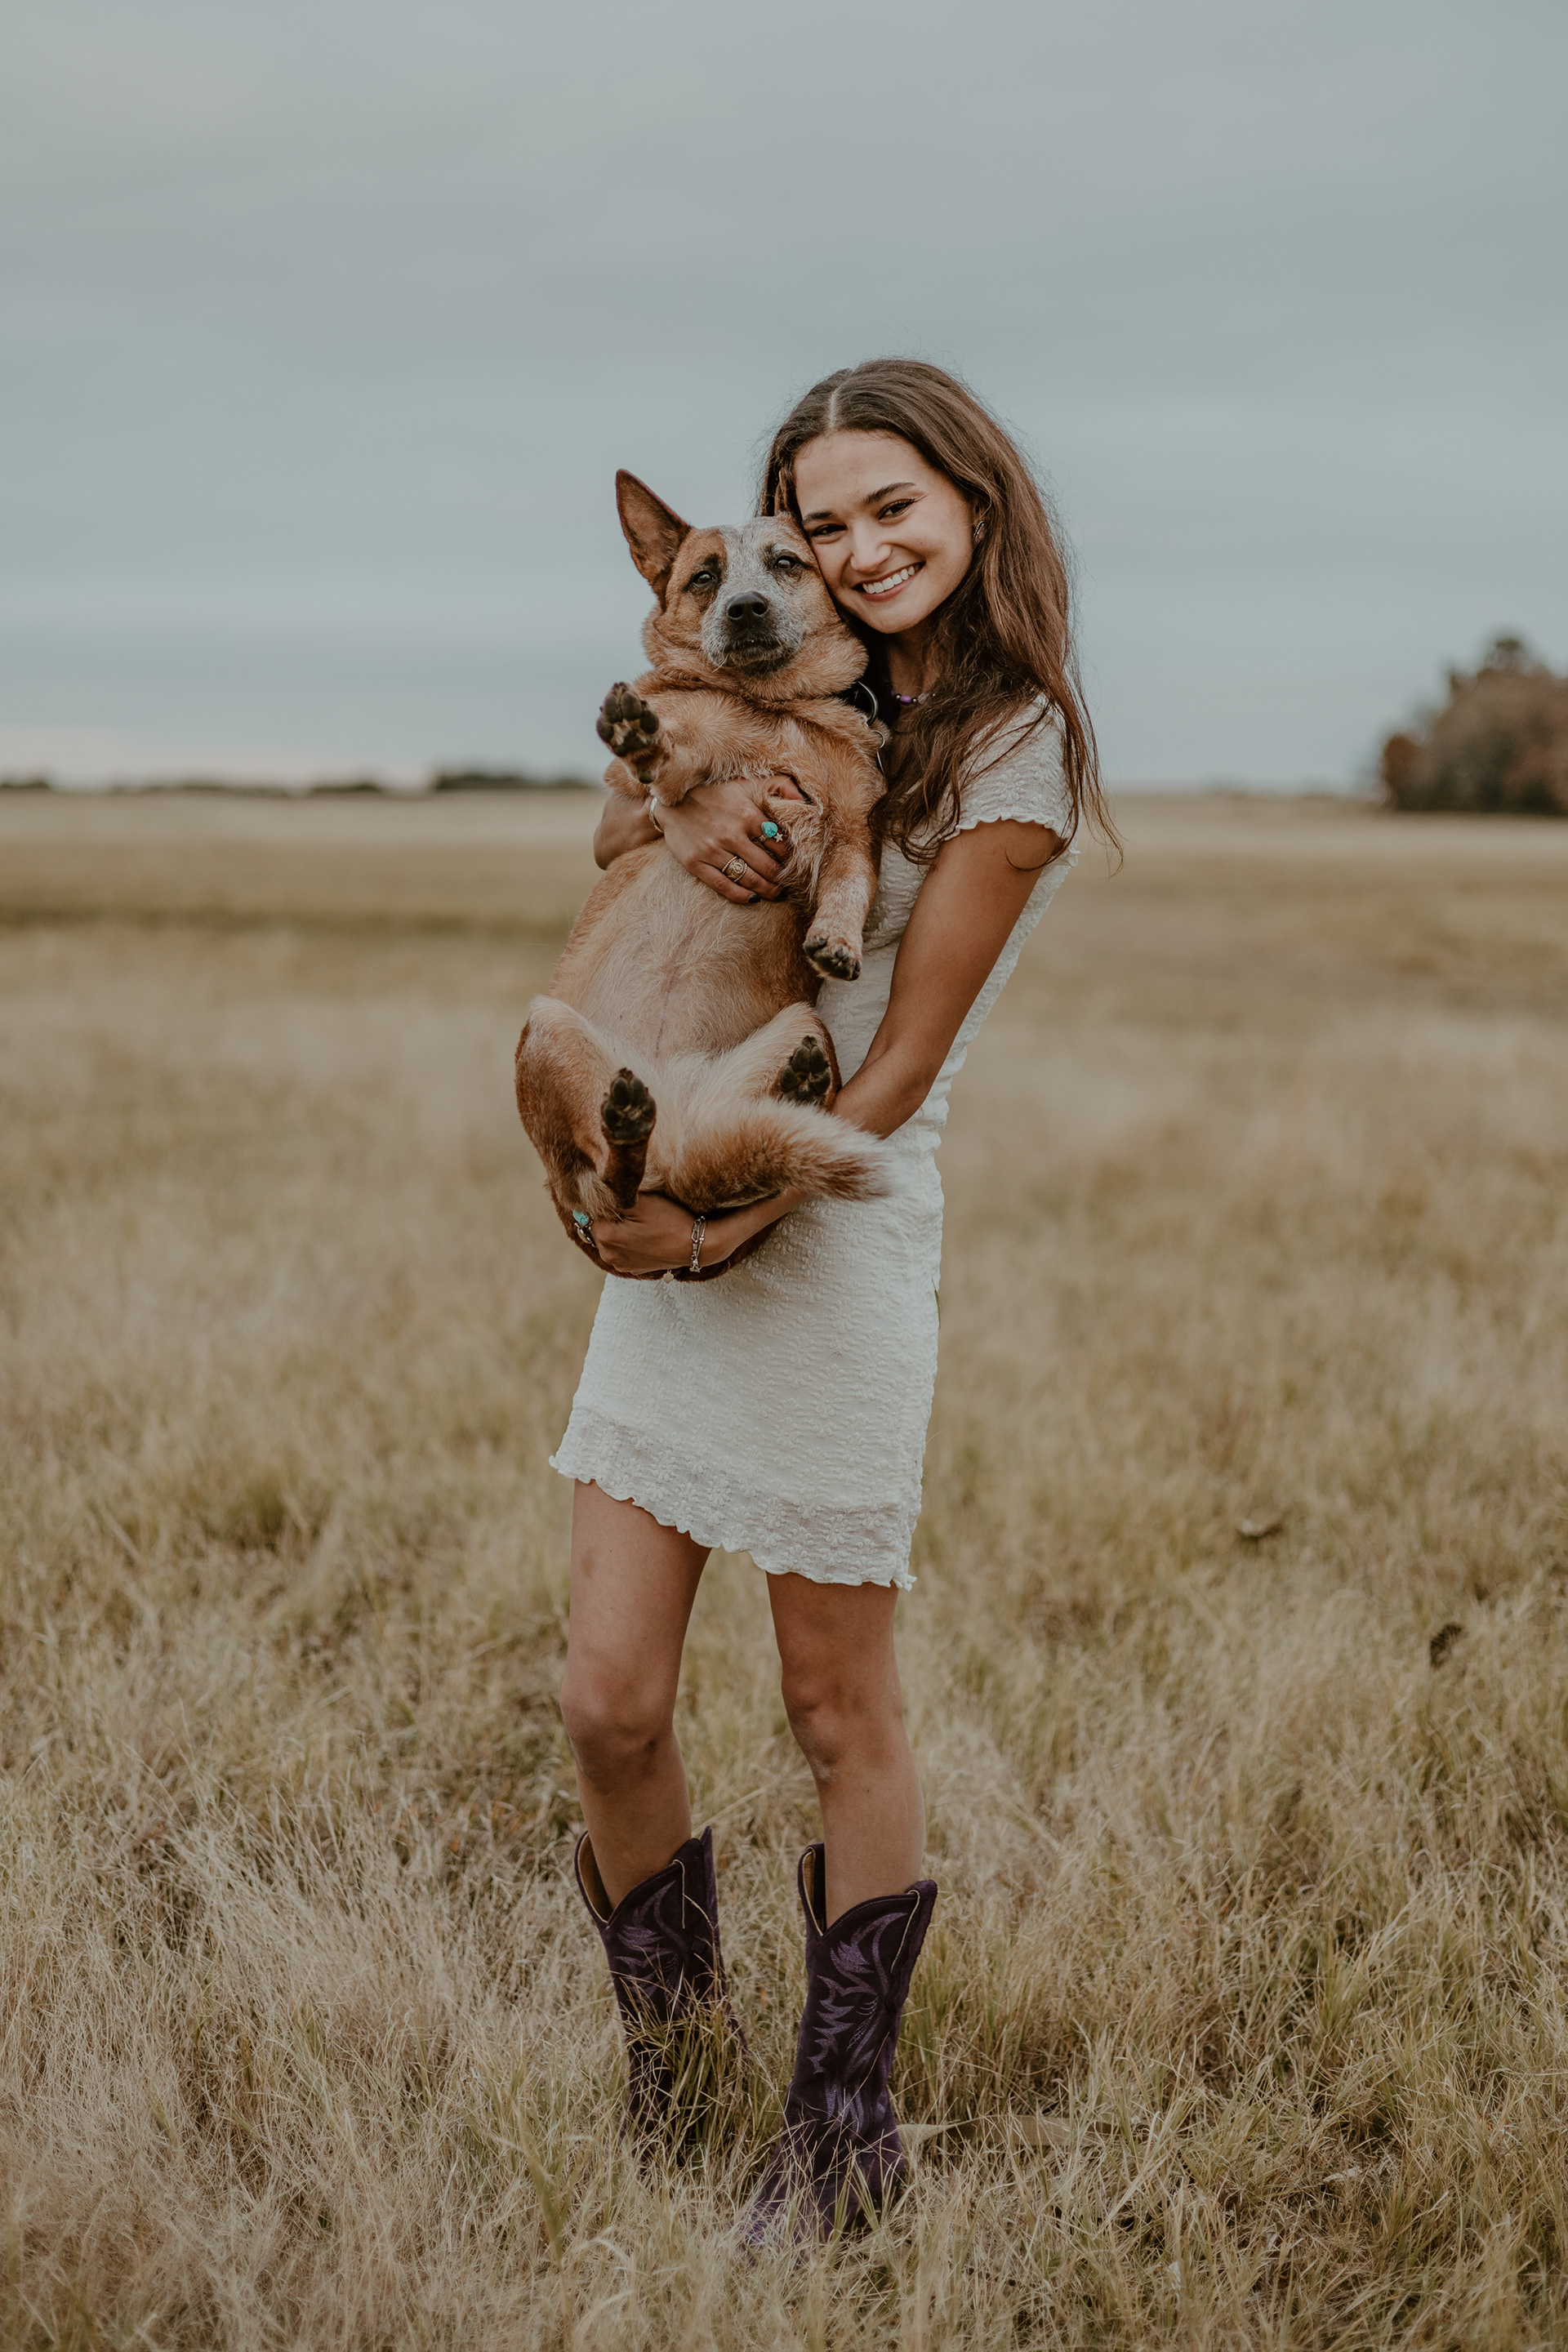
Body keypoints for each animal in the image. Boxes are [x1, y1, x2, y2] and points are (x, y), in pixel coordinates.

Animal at [514, 470, 891, 1278]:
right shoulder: (691, 772)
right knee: (606, 1179)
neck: (775, 707)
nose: (745, 607)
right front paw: (642, 734)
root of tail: (676, 1128)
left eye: (786, 562)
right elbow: (675, 756)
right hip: (545, 1032)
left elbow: (850, 880)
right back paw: (625, 1130)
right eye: (705, 577)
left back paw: (794, 1089)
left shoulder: (854, 828)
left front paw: (837, 941)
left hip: (802, 1025)